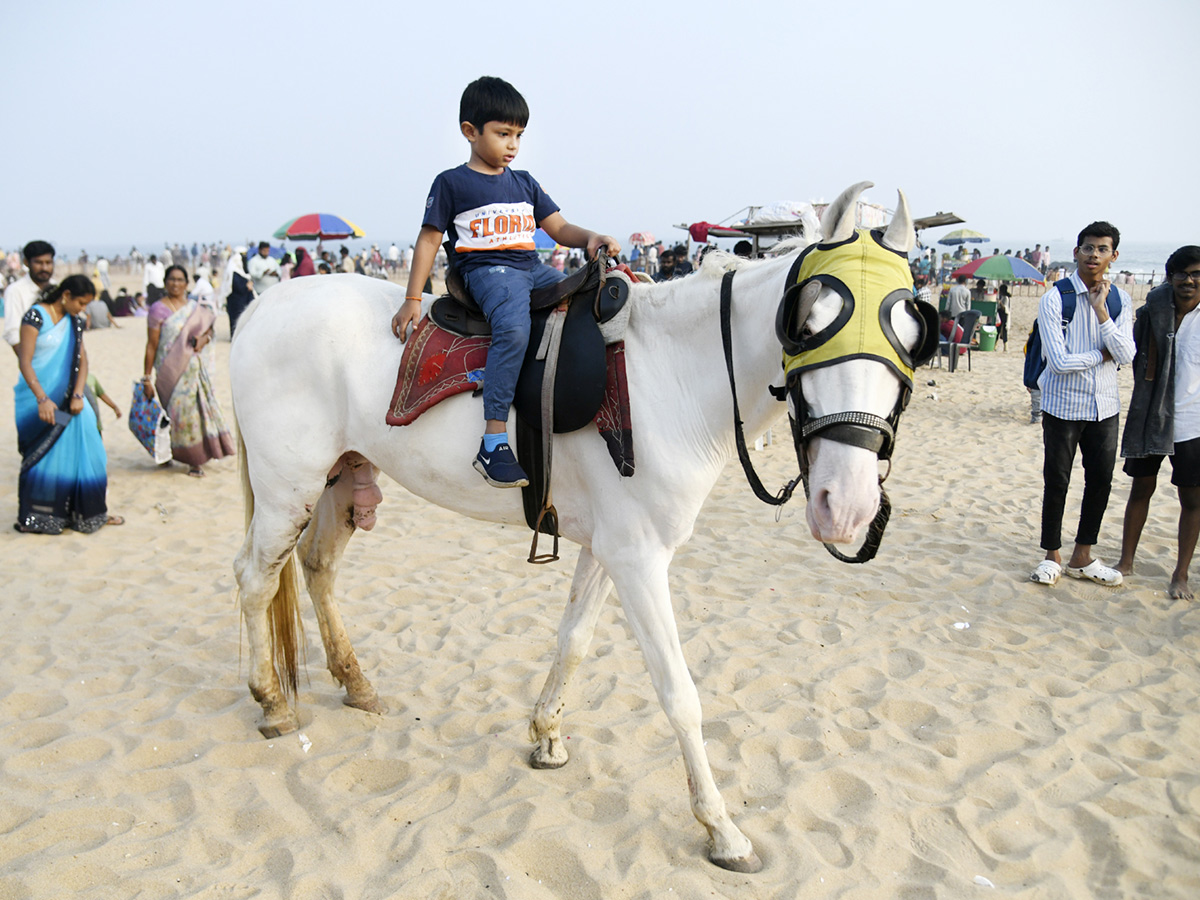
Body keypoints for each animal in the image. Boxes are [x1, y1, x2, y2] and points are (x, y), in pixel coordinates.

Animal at [231, 183, 926, 873]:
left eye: (912, 334)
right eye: (808, 324)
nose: (848, 504)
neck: (672, 376)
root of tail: (261, 309)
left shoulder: (609, 548)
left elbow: (574, 642)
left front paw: (546, 735)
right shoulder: (639, 559)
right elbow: (679, 693)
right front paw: (721, 828)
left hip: (343, 477)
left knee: (317, 566)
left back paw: (355, 683)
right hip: (287, 488)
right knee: (255, 579)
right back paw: (272, 702)